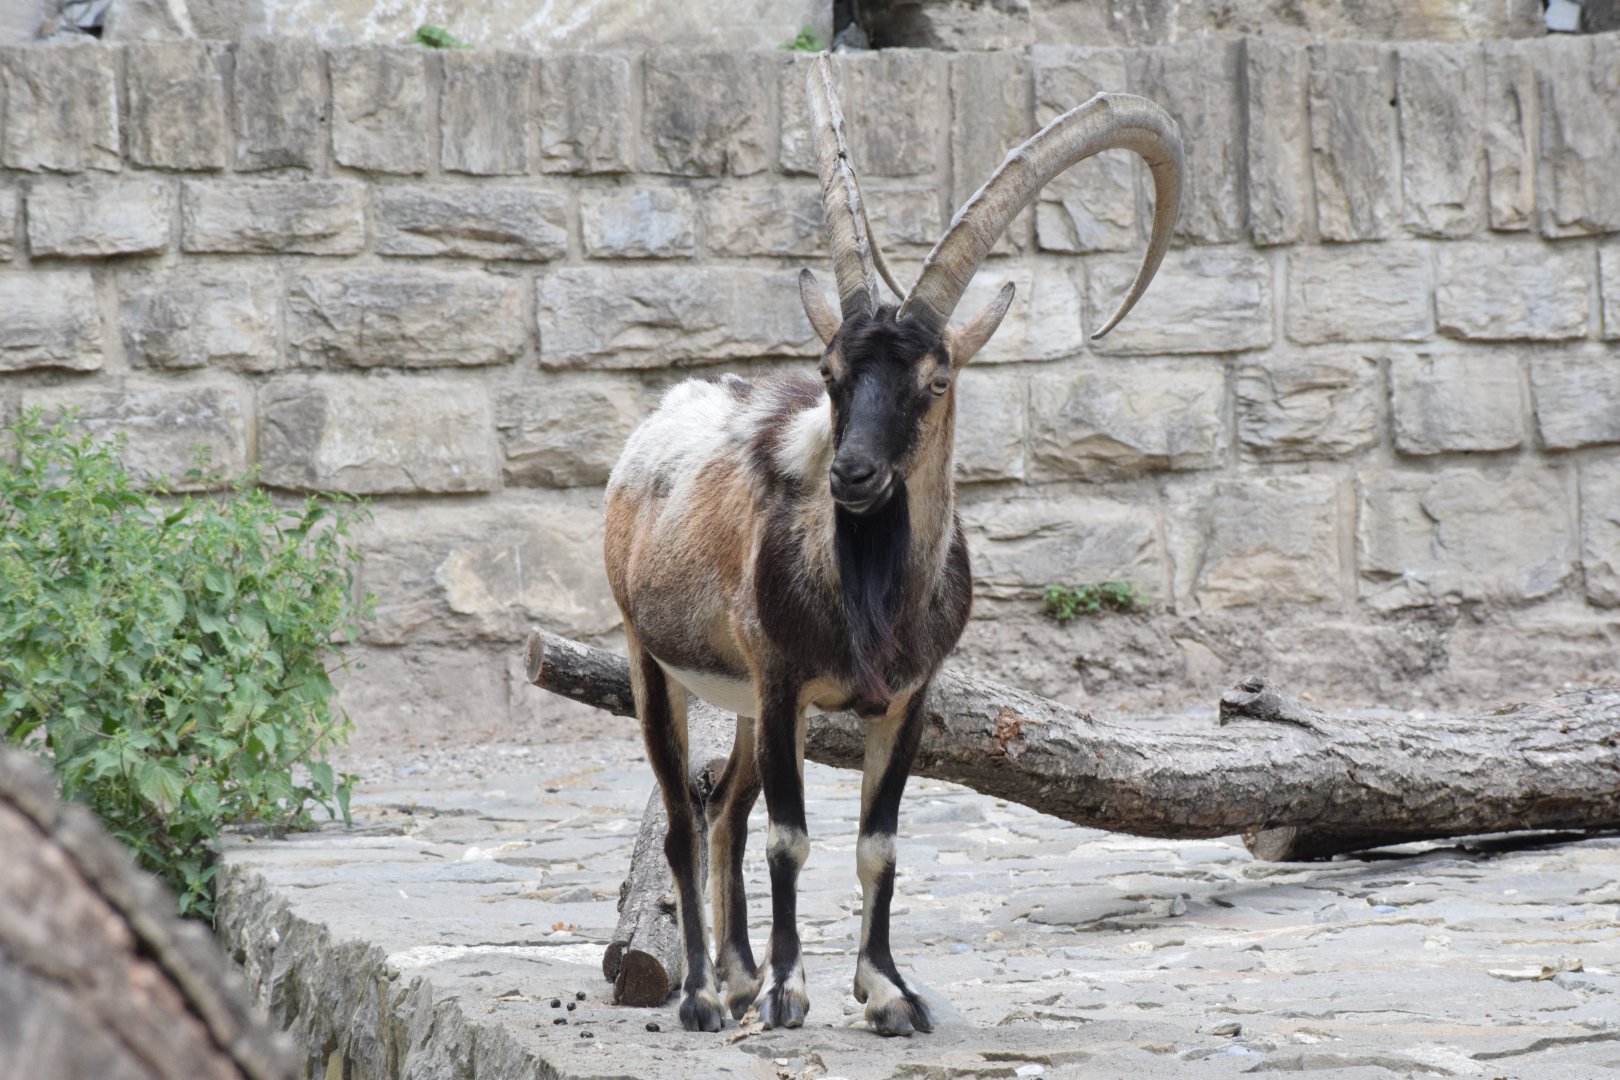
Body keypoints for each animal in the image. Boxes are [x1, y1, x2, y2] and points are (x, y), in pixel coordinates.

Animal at [604, 54, 1183, 1036]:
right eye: (830, 373)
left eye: (937, 377)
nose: (854, 475)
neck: (868, 595)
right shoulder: (785, 682)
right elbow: (792, 836)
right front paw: (793, 995)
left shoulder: (909, 696)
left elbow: (879, 842)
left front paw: (888, 994)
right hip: (654, 659)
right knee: (687, 818)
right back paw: (704, 996)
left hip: (744, 700)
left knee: (725, 809)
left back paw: (737, 978)